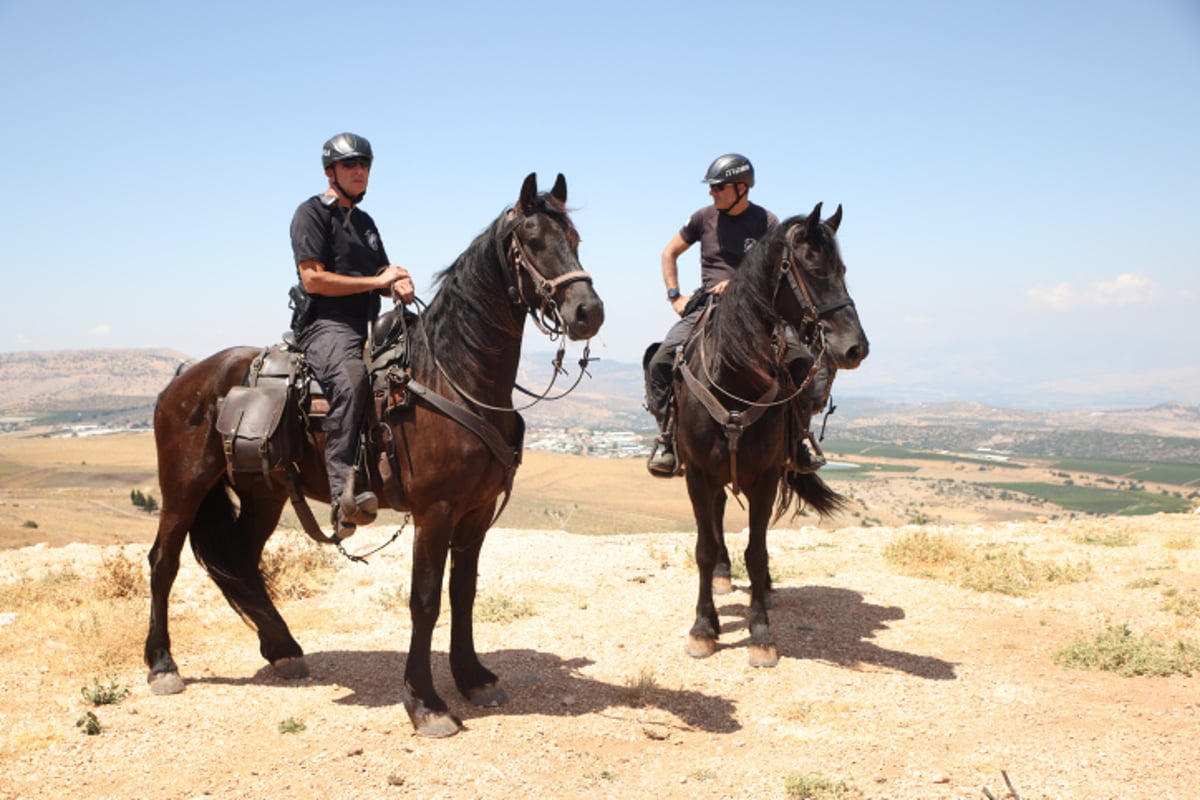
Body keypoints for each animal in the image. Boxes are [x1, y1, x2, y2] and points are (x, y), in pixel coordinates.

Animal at [145, 173, 604, 738]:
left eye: (576, 239)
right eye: (533, 241)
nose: (588, 312)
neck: (451, 376)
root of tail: (183, 378)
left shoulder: (475, 513)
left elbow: (464, 594)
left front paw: (473, 677)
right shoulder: (436, 512)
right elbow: (425, 601)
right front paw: (426, 703)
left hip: (263, 494)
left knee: (241, 561)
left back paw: (282, 649)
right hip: (184, 487)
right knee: (164, 562)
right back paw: (163, 665)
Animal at [672, 203, 868, 666]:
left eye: (842, 269)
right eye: (812, 268)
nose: (855, 348)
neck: (734, 378)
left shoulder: (765, 477)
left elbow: (757, 553)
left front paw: (761, 632)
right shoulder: (697, 475)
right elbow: (703, 549)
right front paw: (703, 629)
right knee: (717, 520)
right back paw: (723, 575)